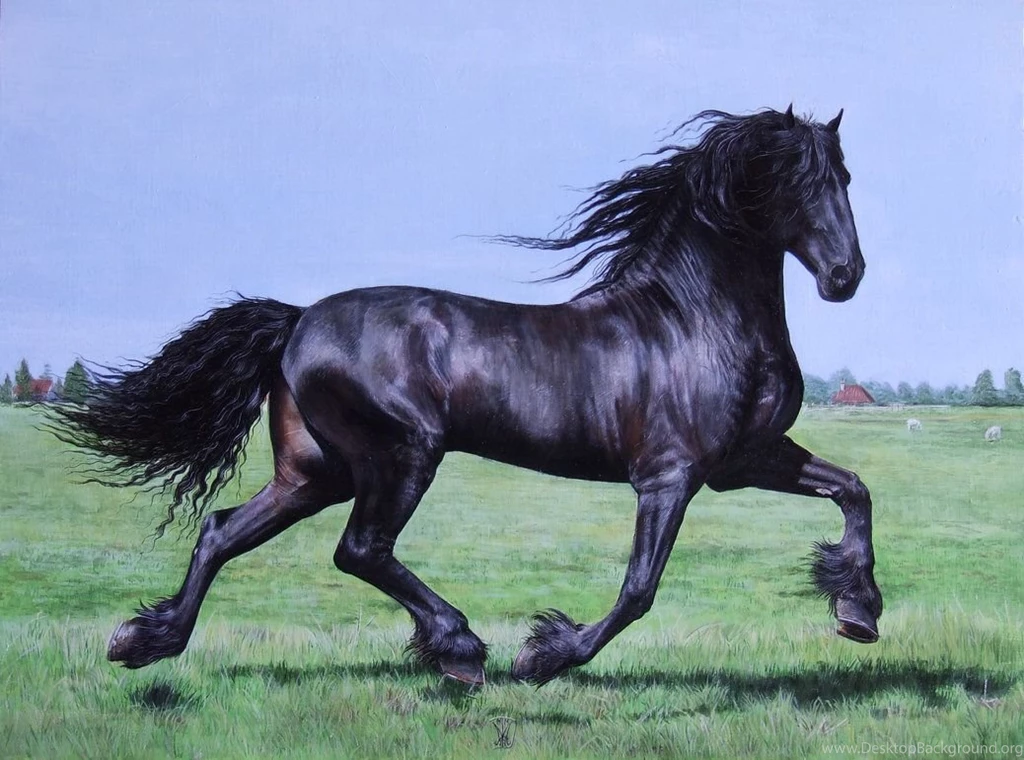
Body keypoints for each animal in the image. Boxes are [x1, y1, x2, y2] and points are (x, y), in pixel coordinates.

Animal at [51, 105, 881, 687]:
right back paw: (462, 650)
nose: (846, 278)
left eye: (844, 180)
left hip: (314, 471)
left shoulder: (747, 460)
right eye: (794, 183)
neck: (688, 320)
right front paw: (544, 655)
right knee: (360, 549)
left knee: (224, 531)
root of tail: (297, 321)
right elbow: (640, 589)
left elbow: (852, 490)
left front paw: (858, 610)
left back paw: (143, 642)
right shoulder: (669, 476)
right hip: (401, 456)